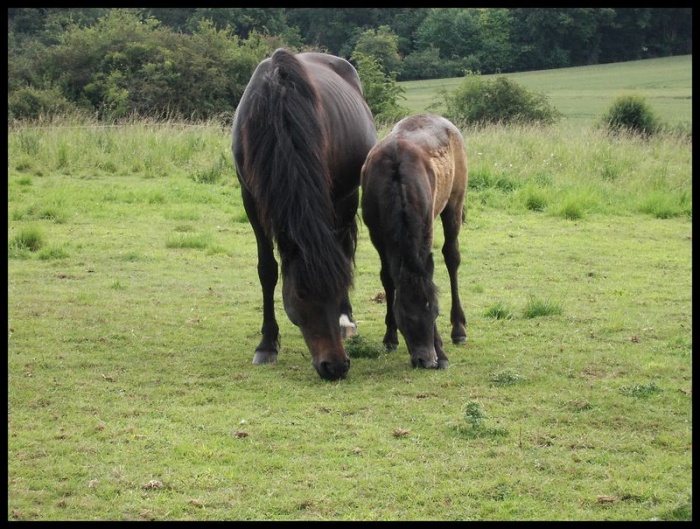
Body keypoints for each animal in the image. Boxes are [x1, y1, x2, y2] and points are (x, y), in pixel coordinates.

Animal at [232, 48, 377, 381]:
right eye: (299, 294)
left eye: (336, 288)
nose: (335, 366)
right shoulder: (251, 199)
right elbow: (267, 270)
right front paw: (267, 345)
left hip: (347, 197)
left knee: (345, 248)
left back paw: (347, 320)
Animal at [360, 113, 468, 370]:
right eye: (405, 317)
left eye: (435, 312)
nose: (426, 359)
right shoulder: (376, 234)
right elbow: (388, 277)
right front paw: (390, 337)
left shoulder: (425, 229)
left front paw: (442, 352)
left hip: (454, 201)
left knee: (452, 256)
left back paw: (459, 329)